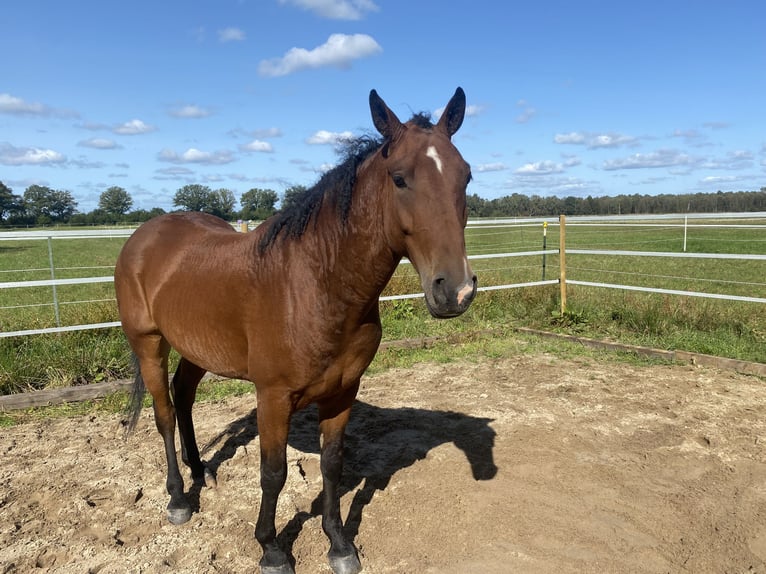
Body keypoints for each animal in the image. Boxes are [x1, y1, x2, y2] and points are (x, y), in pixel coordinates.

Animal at [116, 86, 476, 574]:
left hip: (196, 348)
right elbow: (274, 473)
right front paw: (271, 548)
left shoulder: (342, 391)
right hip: (149, 343)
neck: (316, 284)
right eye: (400, 178)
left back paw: (200, 471)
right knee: (165, 413)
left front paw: (339, 544)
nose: (455, 291)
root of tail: (144, 235)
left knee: (184, 396)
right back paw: (178, 499)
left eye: (466, 177)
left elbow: (332, 465)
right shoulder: (273, 396)